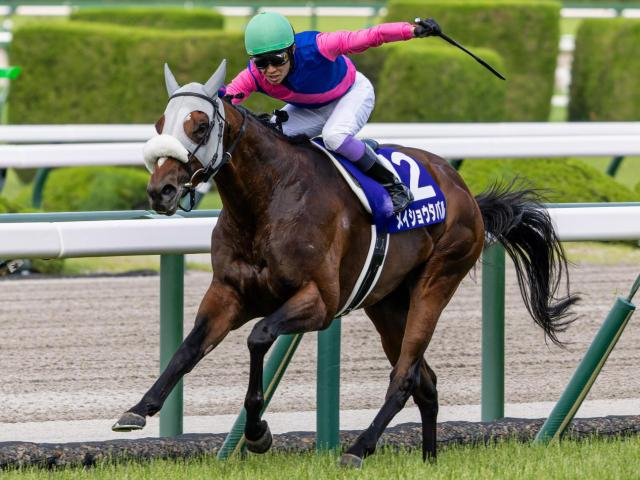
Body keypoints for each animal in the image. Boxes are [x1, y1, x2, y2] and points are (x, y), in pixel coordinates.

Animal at [112, 60, 578, 466]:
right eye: (159, 126)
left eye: (201, 125)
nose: (160, 191)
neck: (268, 200)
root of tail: (465, 192)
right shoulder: (229, 291)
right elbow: (188, 347)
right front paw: (139, 408)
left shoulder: (319, 302)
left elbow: (259, 338)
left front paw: (258, 432)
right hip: (387, 304)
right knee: (425, 381)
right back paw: (428, 459)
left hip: (438, 280)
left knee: (405, 377)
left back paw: (358, 448)